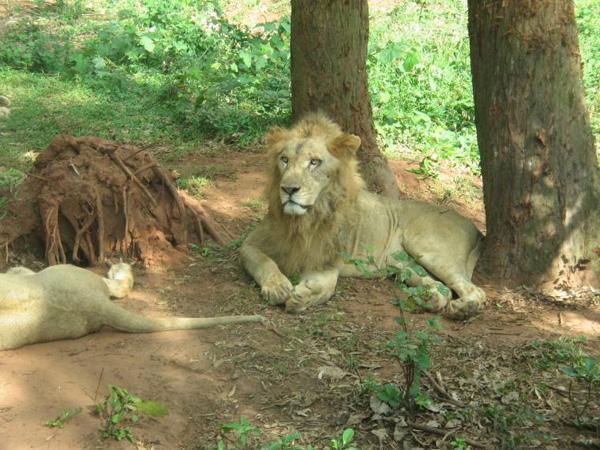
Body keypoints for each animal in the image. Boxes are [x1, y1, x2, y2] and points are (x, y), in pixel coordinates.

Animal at [241, 116, 486, 320]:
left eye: (314, 162)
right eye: (284, 159)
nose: (288, 189)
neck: (306, 219)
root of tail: (474, 227)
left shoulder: (326, 257)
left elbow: (328, 285)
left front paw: (304, 296)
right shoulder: (250, 244)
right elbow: (262, 261)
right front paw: (278, 287)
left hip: (427, 249)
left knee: (474, 290)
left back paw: (462, 309)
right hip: (402, 263)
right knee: (440, 289)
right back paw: (428, 298)